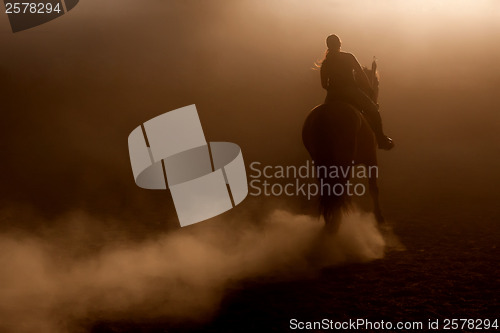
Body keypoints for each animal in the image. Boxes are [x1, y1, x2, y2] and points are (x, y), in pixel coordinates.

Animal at [302, 65, 384, 231]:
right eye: (377, 82)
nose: (376, 103)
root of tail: (326, 115)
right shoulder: (371, 158)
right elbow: (374, 189)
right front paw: (378, 218)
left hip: (321, 162)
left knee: (329, 189)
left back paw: (330, 222)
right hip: (343, 162)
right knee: (339, 190)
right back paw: (335, 222)